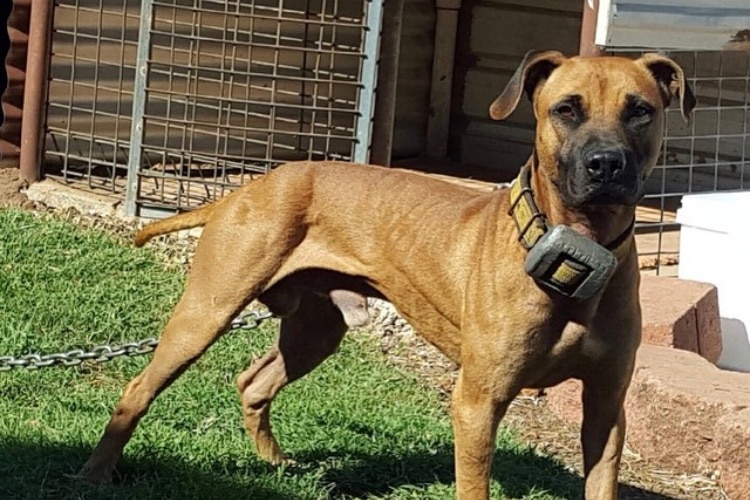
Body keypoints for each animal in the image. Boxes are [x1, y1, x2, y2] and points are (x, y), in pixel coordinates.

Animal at [79, 52, 696, 498]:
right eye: (566, 109)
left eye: (639, 110)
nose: (606, 164)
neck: (575, 252)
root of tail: (250, 185)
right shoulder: (478, 402)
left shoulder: (606, 407)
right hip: (205, 313)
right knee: (137, 388)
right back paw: (96, 474)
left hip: (316, 330)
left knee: (254, 381)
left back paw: (278, 464)